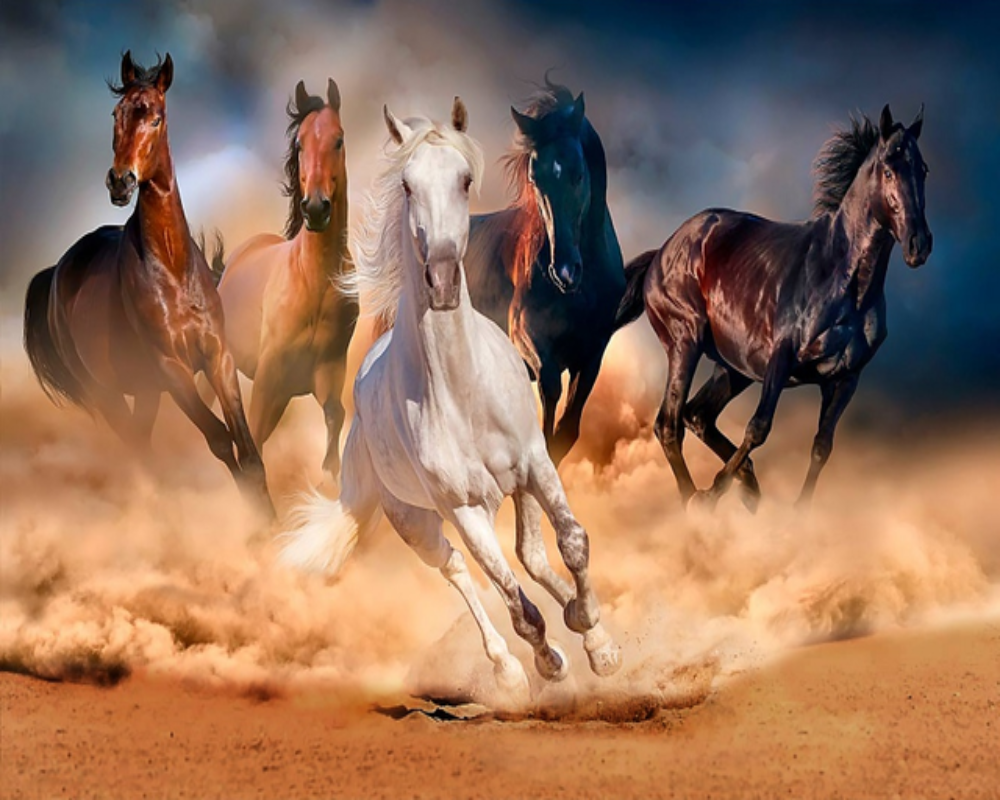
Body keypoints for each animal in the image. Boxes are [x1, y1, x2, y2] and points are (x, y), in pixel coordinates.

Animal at [22, 52, 273, 517]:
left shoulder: (218, 357)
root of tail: (57, 272)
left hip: (144, 392)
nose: (120, 182)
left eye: (156, 118)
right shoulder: (172, 369)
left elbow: (247, 450)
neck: (173, 269)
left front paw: (273, 523)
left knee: (141, 442)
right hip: (106, 394)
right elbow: (219, 440)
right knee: (139, 450)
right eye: (116, 114)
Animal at [216, 79, 356, 477]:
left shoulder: (328, 371)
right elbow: (253, 442)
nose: (316, 207)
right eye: (299, 144)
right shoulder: (269, 377)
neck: (314, 282)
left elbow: (335, 418)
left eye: (338, 139)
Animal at [464, 79, 625, 466]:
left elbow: (567, 431)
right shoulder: (526, 334)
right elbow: (549, 390)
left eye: (579, 174)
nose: (564, 271)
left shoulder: (592, 353)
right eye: (535, 180)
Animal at [616, 105, 932, 509]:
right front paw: (713, 494)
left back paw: (749, 486)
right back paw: (695, 501)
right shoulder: (781, 359)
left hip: (734, 368)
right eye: (889, 170)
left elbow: (822, 446)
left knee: (697, 415)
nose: (919, 244)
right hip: (685, 343)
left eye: (922, 169)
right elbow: (758, 428)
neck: (844, 282)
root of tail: (663, 251)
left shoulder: (846, 378)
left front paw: (797, 512)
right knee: (669, 424)